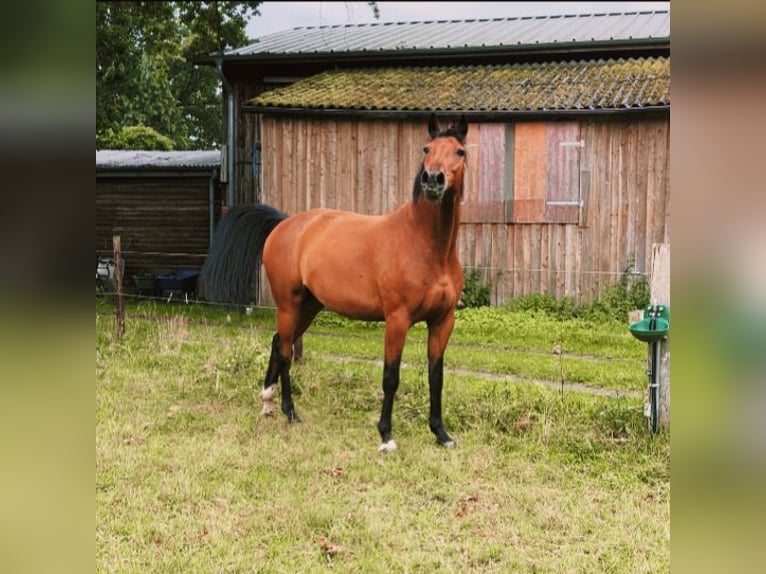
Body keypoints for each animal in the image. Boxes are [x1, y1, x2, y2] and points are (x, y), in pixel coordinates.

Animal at [200, 113, 468, 454]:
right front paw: (385, 436)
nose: (433, 180)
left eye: (460, 151)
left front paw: (441, 434)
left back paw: (267, 403)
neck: (426, 245)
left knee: (277, 343)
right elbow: (391, 376)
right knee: (285, 351)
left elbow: (437, 377)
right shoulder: (397, 319)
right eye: (426, 149)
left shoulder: (442, 322)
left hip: (309, 307)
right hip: (288, 305)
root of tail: (284, 223)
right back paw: (290, 412)